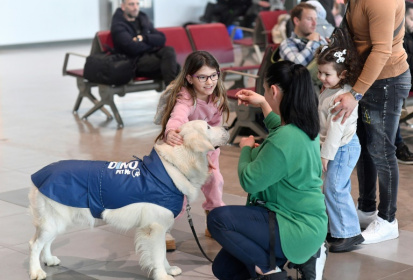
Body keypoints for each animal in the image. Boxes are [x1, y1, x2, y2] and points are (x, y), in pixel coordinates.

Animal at [28, 120, 229, 280]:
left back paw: (49, 260)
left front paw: (168, 269)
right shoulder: (155, 227)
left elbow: (163, 252)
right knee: (35, 244)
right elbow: (158, 253)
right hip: (53, 219)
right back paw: (36, 271)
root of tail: (40, 174)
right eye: (208, 126)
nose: (227, 127)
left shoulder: (161, 226)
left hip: (57, 220)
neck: (174, 166)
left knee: (46, 242)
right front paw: (162, 275)